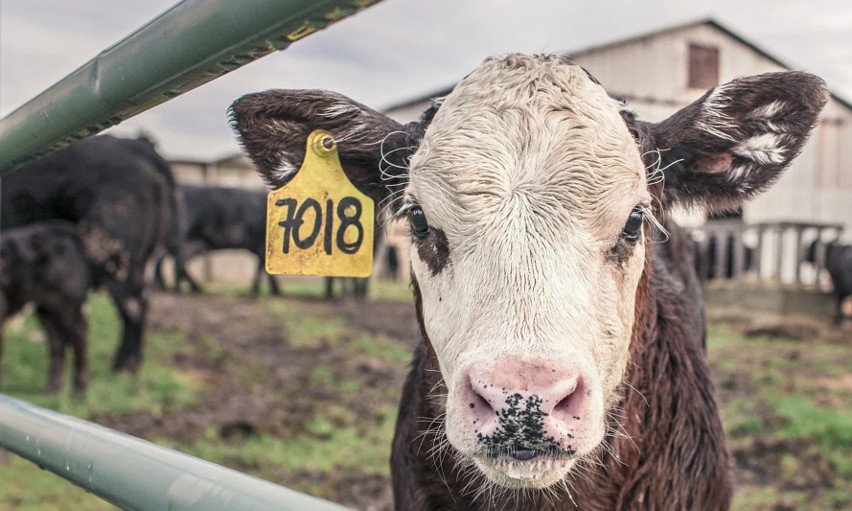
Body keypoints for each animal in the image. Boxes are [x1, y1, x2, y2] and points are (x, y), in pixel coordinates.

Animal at [0, 222, 90, 394]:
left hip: (67, 304)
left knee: (79, 335)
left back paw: (78, 390)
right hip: (46, 308)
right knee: (56, 341)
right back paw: (52, 389)